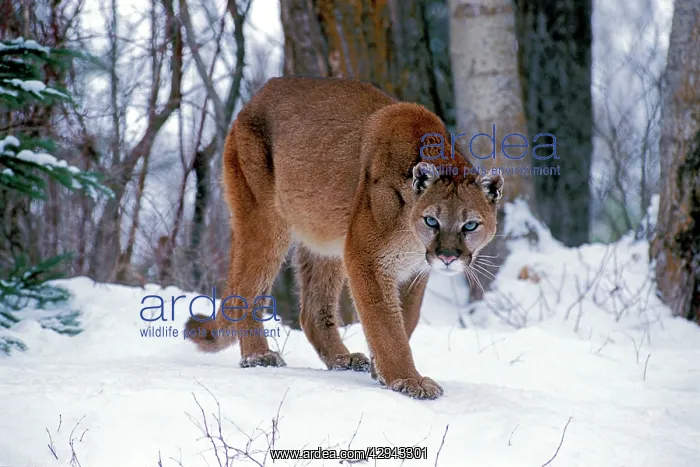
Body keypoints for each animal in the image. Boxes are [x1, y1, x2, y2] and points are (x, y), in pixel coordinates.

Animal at [185, 76, 504, 399]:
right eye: (431, 220)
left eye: (470, 225)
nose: (447, 256)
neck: (412, 236)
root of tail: (253, 100)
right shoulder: (367, 259)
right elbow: (386, 327)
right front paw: (407, 379)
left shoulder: (414, 271)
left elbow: (407, 321)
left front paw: (381, 371)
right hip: (265, 221)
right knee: (246, 290)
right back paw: (258, 356)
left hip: (326, 240)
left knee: (313, 311)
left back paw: (342, 359)